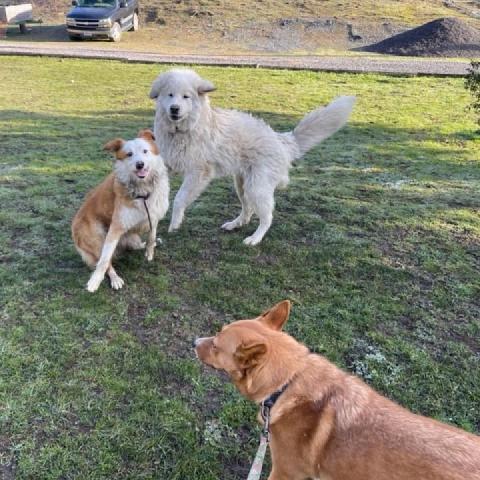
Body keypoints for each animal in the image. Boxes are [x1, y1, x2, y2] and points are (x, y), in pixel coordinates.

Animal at [70, 128, 169, 292]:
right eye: (129, 154)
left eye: (145, 151)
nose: (140, 164)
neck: (142, 190)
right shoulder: (116, 227)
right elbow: (104, 261)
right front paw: (95, 280)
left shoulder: (154, 216)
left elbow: (151, 236)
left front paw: (150, 252)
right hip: (98, 238)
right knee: (106, 261)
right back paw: (115, 278)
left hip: (132, 237)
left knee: (135, 245)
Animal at [151, 69, 356, 246]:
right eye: (170, 95)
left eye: (186, 97)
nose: (174, 109)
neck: (182, 131)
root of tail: (282, 139)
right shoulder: (166, 163)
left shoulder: (198, 172)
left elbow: (179, 199)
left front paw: (174, 224)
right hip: (242, 184)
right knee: (248, 209)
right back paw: (234, 224)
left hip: (256, 187)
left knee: (267, 217)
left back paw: (254, 239)